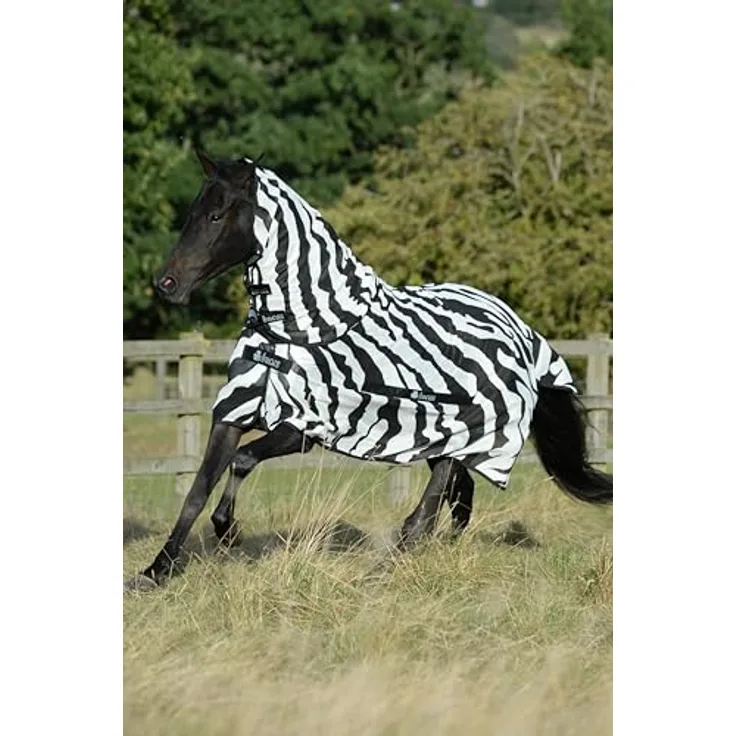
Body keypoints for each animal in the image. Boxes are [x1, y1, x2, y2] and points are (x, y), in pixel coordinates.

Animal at [127, 150, 612, 590]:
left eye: (217, 215)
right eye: (193, 213)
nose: (166, 284)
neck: (303, 326)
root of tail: (518, 327)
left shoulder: (302, 427)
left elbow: (243, 461)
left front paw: (229, 532)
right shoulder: (232, 414)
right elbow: (197, 491)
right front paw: (157, 571)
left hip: (466, 430)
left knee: (435, 498)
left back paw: (392, 561)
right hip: (442, 435)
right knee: (459, 498)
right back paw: (435, 552)